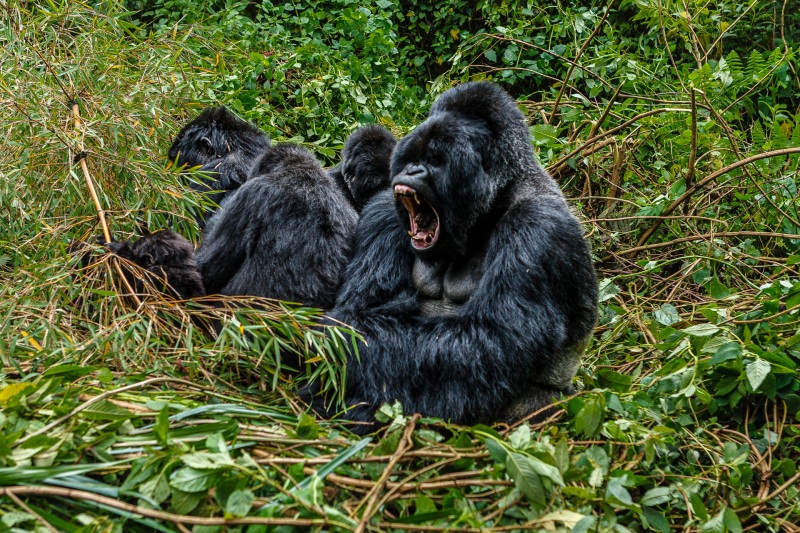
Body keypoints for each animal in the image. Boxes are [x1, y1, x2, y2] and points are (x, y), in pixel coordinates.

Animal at [318, 82, 600, 432]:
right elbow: (364, 303)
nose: (412, 170)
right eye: (412, 157)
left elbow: (487, 343)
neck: (493, 203)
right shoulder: (382, 211)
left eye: (436, 160)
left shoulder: (540, 228)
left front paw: (336, 338)